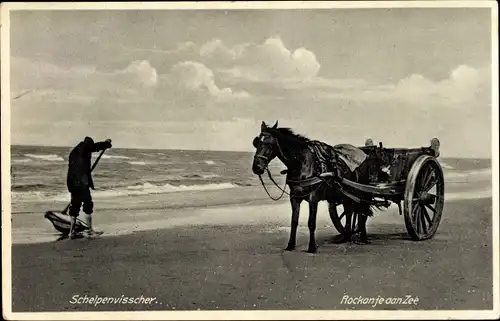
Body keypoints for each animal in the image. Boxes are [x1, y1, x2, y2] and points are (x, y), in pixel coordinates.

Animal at [252, 120, 376, 252]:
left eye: (268, 144)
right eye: (257, 143)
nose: (257, 167)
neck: (301, 163)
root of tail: (365, 157)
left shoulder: (313, 198)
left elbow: (311, 223)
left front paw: (312, 247)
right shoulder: (294, 197)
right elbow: (294, 221)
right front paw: (291, 245)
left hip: (361, 193)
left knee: (361, 212)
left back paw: (362, 238)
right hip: (346, 195)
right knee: (350, 212)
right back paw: (346, 237)